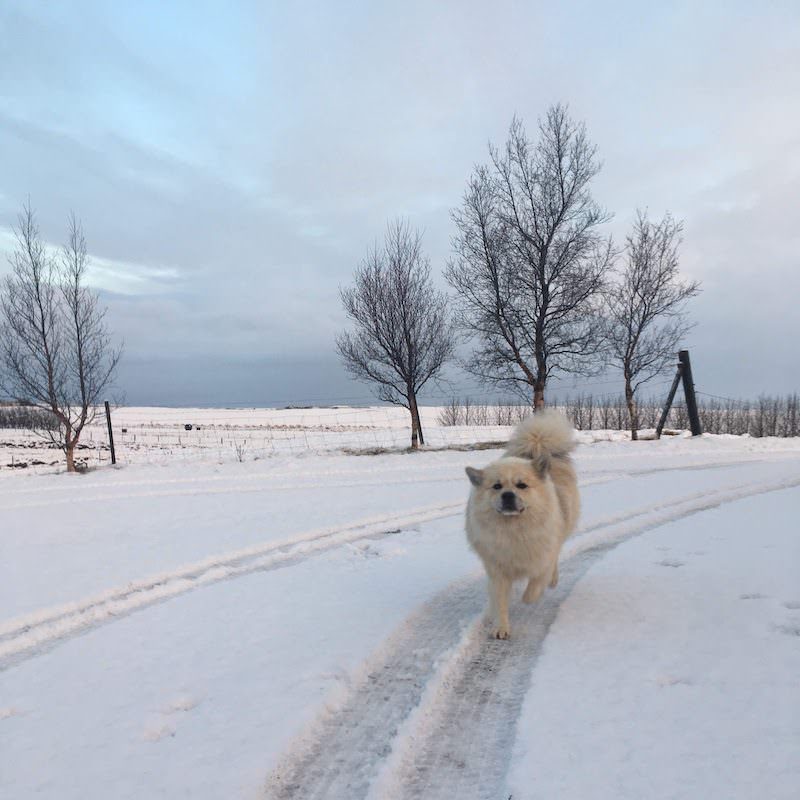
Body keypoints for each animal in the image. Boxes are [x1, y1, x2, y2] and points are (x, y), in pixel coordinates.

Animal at [462, 412, 580, 636]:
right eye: (497, 486)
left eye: (522, 485)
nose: (508, 495)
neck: (514, 530)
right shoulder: (497, 570)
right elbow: (500, 601)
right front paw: (501, 628)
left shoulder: (542, 559)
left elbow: (536, 583)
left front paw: (528, 598)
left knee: (555, 560)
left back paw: (552, 581)